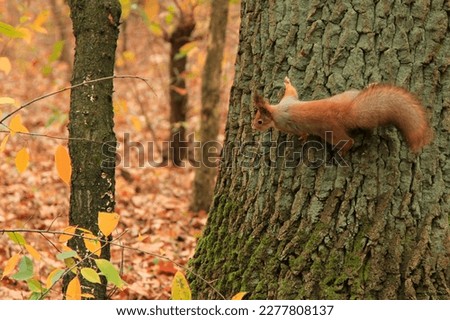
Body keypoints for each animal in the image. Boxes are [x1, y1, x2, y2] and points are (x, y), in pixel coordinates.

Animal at [253, 77, 432, 153]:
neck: (276, 111)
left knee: (348, 141)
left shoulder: (285, 122)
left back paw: (342, 152)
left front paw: (302, 138)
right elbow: (292, 91)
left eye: (260, 121)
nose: (252, 126)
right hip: (350, 95)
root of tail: (347, 111)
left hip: (331, 133)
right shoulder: (289, 100)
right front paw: (287, 82)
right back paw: (371, 85)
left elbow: (301, 132)